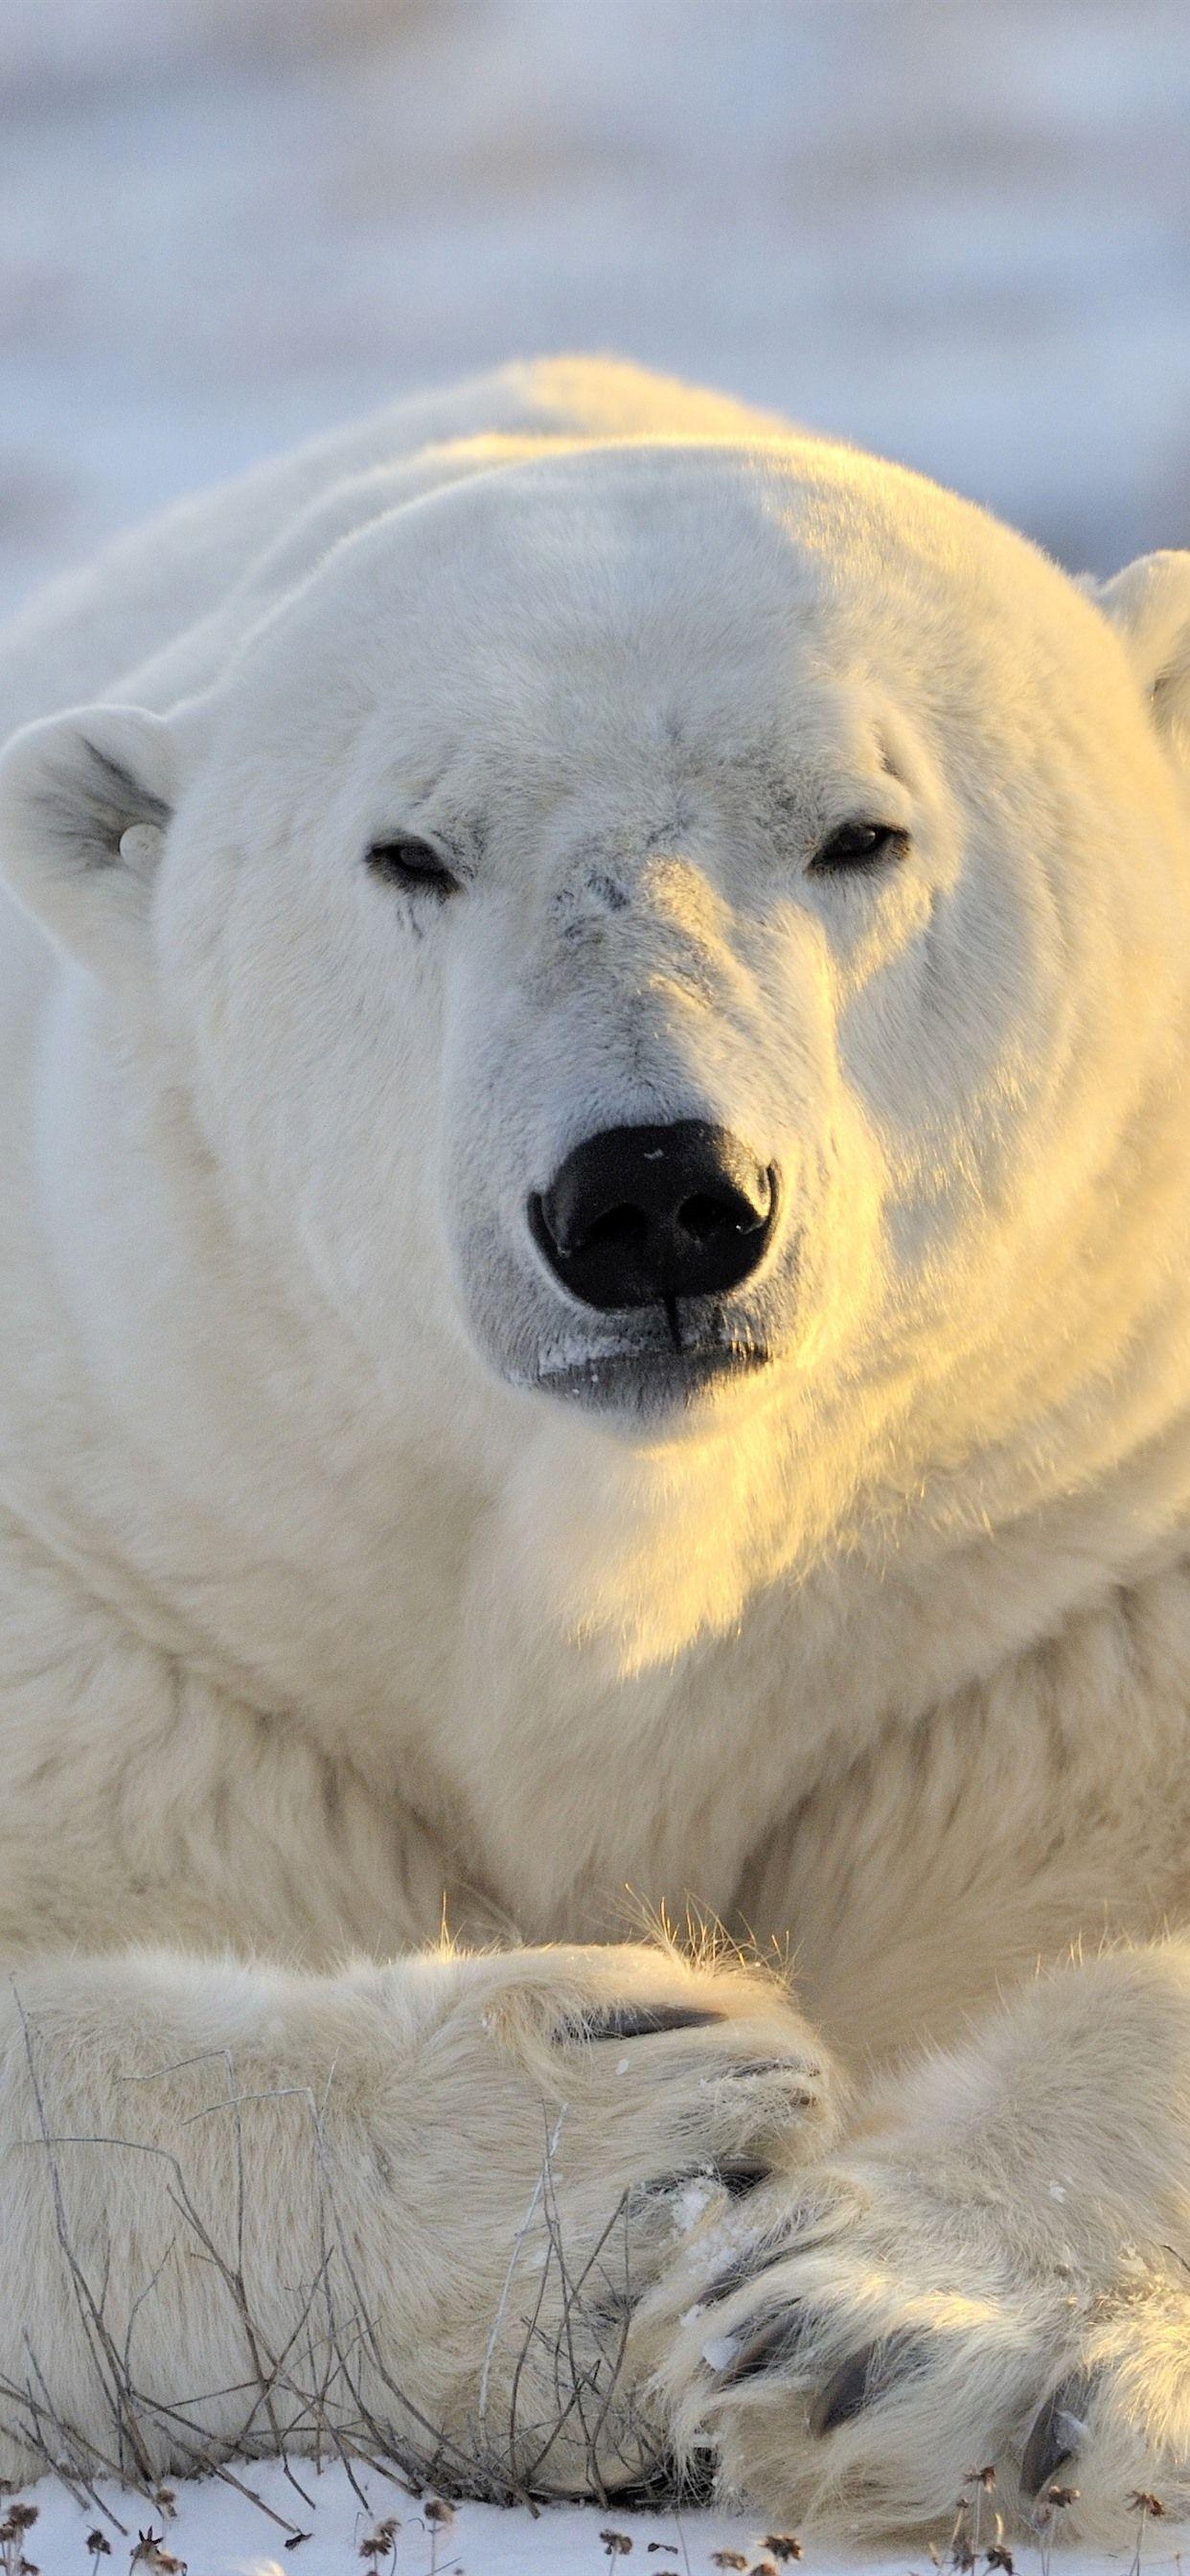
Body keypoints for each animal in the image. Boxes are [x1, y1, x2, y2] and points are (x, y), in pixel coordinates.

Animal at [0, 353, 1184, 2544]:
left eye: (863, 828)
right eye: (407, 852)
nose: (652, 1197)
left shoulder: (1062, 1598)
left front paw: (888, 2320)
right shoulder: (142, 1592)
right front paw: (626, 2145)